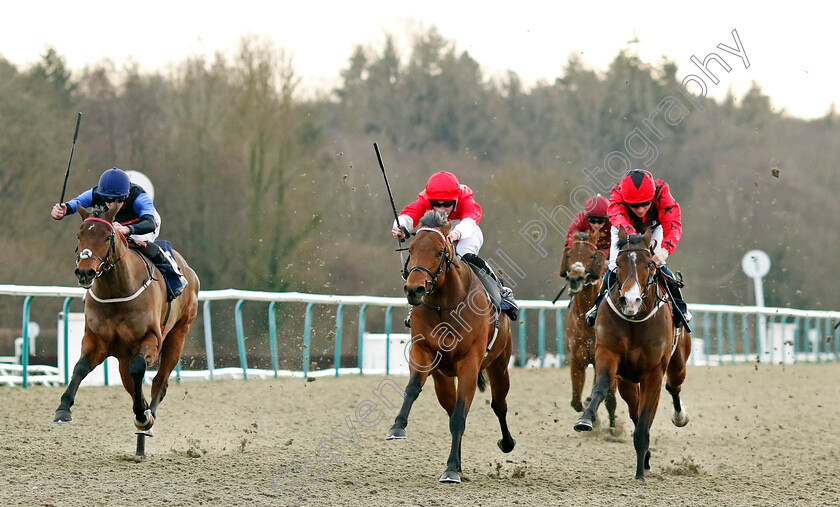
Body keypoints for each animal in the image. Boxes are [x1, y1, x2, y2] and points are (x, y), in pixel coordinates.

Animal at [53, 204, 200, 450]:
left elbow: (139, 368)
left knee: (159, 382)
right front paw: (63, 409)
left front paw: (143, 415)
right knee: (131, 383)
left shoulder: (152, 340)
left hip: (178, 335)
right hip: (123, 355)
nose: (85, 272)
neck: (117, 292)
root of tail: (189, 270)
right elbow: (80, 368)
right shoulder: (96, 340)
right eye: (79, 235)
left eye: (108, 236)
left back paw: (147, 419)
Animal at [388, 210, 520, 484]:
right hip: (444, 378)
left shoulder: (469, 361)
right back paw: (458, 462)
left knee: (498, 405)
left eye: (440, 251)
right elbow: (413, 388)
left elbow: (461, 416)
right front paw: (397, 426)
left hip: (500, 365)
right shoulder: (424, 351)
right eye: (411, 249)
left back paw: (506, 443)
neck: (445, 304)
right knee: (451, 410)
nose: (414, 289)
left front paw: (449, 469)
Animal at [560, 232, 612, 430]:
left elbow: (609, 399)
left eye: (591, 255)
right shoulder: (577, 359)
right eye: (569, 255)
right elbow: (575, 401)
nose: (576, 279)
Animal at [576, 228, 692, 482]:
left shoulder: (653, 372)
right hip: (628, 382)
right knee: (634, 408)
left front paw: (640, 472)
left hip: (677, 364)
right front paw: (585, 419)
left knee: (673, 388)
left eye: (649, 264)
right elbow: (601, 388)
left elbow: (646, 417)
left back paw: (679, 417)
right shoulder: (608, 354)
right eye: (617, 264)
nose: (630, 300)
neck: (635, 319)